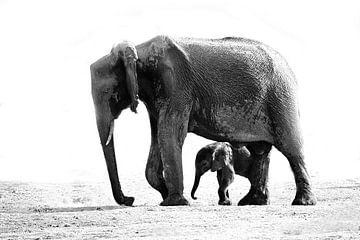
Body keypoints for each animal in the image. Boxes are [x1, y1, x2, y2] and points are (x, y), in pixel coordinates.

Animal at [90, 35, 316, 206]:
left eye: (109, 93)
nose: (130, 199)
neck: (138, 51)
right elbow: (158, 138)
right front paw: (165, 197)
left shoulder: (177, 85)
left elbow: (169, 134)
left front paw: (174, 203)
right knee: (260, 151)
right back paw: (252, 202)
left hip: (281, 98)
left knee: (291, 149)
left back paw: (302, 202)